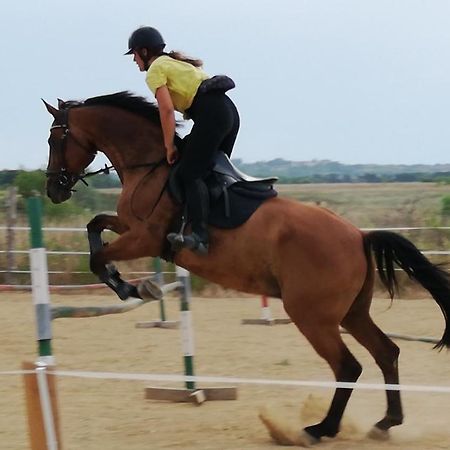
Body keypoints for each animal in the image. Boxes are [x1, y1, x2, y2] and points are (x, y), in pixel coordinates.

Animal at [43, 91, 450, 446]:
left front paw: (133, 287)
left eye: (54, 139)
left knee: (348, 366)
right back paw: (385, 423)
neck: (151, 165)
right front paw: (130, 284)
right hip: (351, 313)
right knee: (386, 353)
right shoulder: (130, 227)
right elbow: (95, 225)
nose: (53, 190)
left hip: (312, 316)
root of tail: (359, 235)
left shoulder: (146, 238)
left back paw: (319, 429)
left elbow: (98, 257)